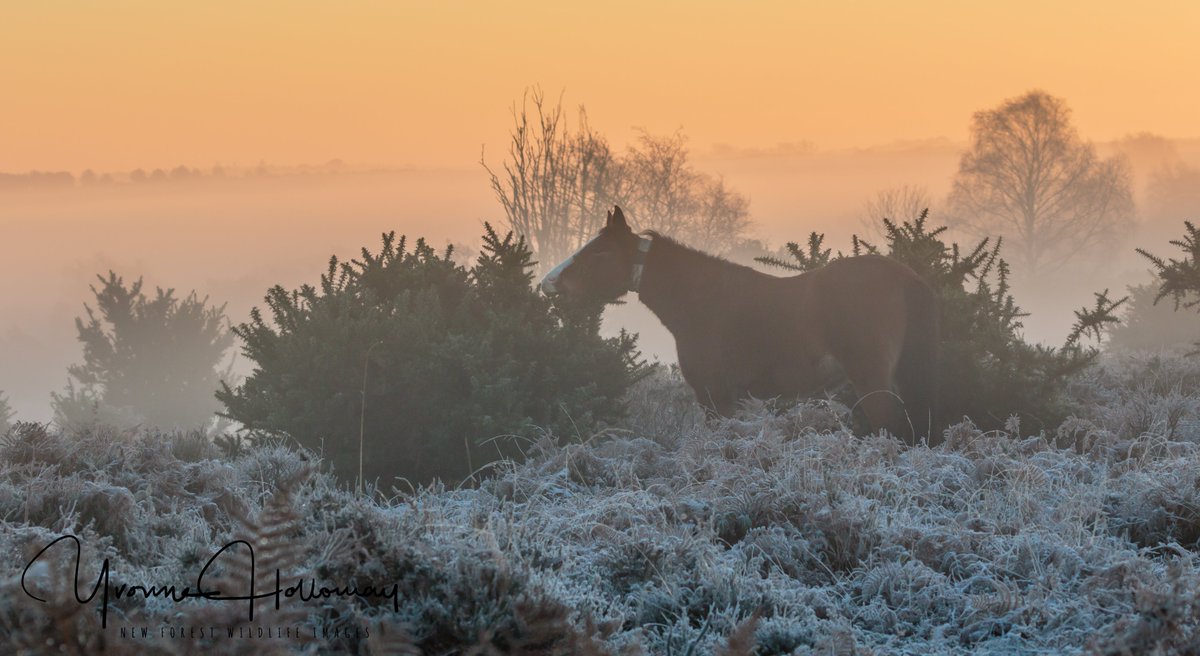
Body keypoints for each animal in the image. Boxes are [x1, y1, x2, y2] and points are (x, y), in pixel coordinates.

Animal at [540, 207, 940, 446]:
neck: (701, 300)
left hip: (872, 380)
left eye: (599, 252)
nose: (549, 283)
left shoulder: (715, 394)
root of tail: (907, 278)